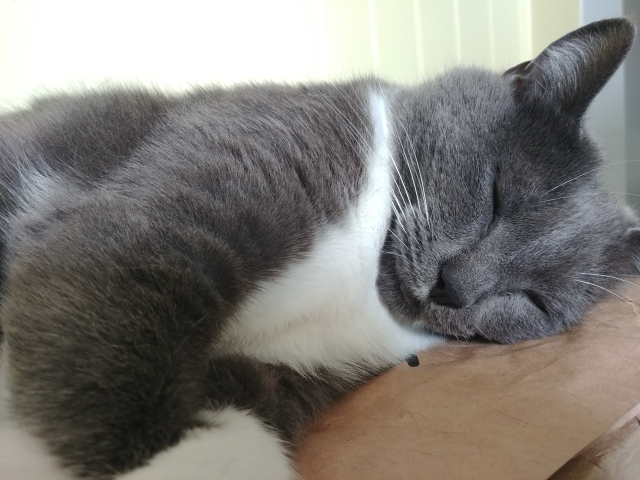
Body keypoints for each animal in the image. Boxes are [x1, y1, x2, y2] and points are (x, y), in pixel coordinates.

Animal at [0, 16, 636, 478]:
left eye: (534, 301)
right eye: (498, 194)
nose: (452, 287)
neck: (359, 277)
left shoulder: (308, 369)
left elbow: (249, 401)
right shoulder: (197, 200)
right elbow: (131, 278)